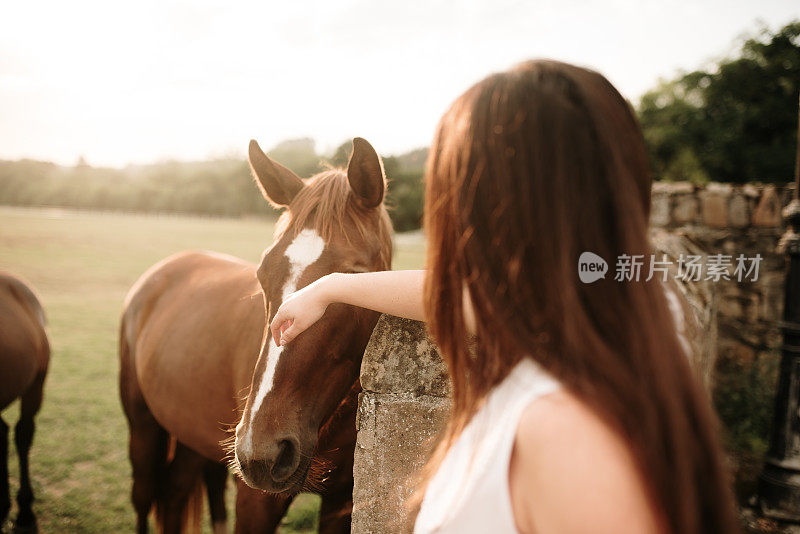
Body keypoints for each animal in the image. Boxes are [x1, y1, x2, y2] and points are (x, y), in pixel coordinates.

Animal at [119, 139, 394, 534]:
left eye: (355, 276)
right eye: (263, 273)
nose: (261, 452)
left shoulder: (342, 503)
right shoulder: (255, 501)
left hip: (191, 437)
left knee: (173, 493)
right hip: (143, 427)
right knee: (144, 497)